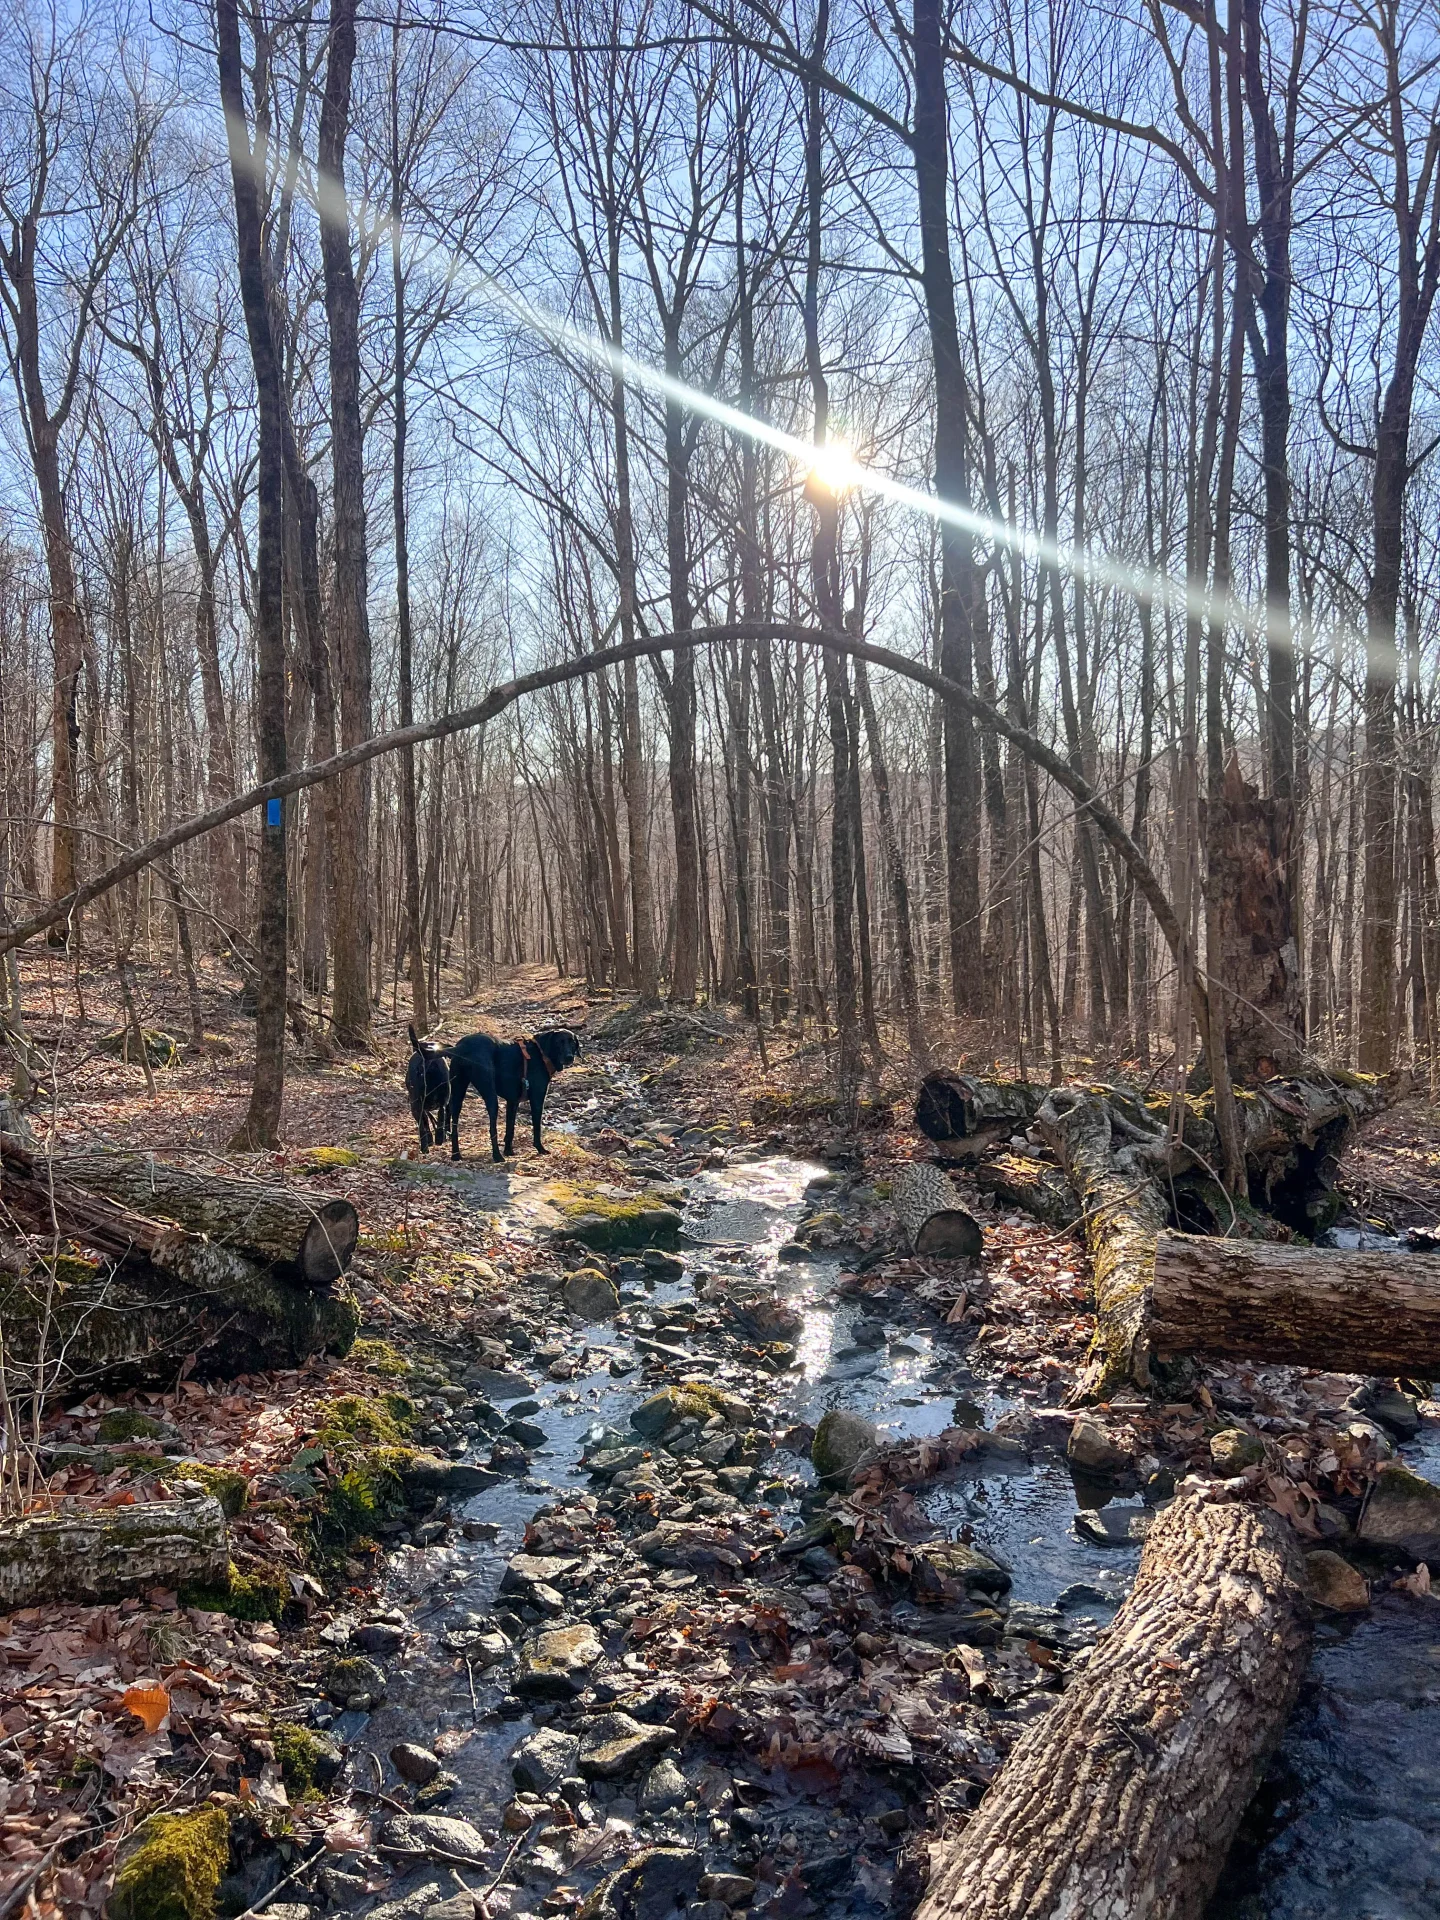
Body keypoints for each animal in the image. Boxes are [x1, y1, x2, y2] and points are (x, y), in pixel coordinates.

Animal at [407, 1021, 451, 1152]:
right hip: (442, 1099)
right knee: (440, 1116)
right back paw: (437, 1139)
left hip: (416, 1104)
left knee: (425, 1125)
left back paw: (427, 1145)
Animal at [445, 1029, 579, 1159]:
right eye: (558, 1042)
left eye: (572, 1042)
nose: (569, 1057)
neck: (541, 1052)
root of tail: (463, 1046)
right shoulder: (537, 1099)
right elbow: (537, 1127)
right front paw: (540, 1149)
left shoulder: (512, 1102)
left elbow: (510, 1129)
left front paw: (508, 1151)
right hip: (490, 1094)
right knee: (492, 1128)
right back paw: (497, 1156)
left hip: (457, 1093)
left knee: (454, 1125)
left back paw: (456, 1155)